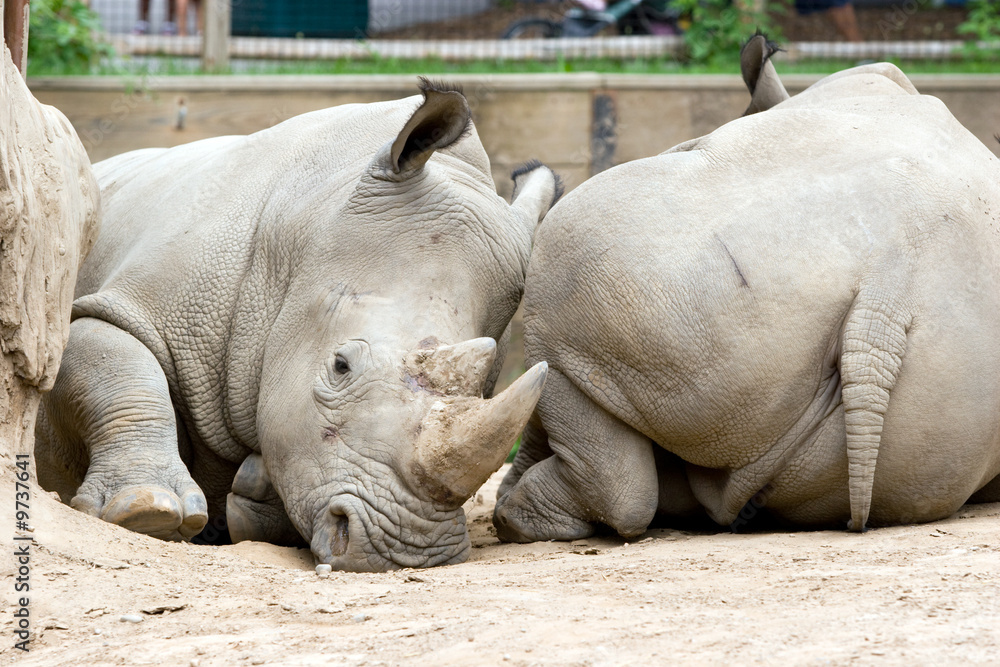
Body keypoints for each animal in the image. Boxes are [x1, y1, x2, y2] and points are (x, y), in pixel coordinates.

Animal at [35, 79, 559, 571]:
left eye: (485, 388)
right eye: (341, 366)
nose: (407, 548)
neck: (303, 232)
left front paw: (253, 498)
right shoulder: (124, 305)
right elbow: (118, 365)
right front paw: (148, 512)